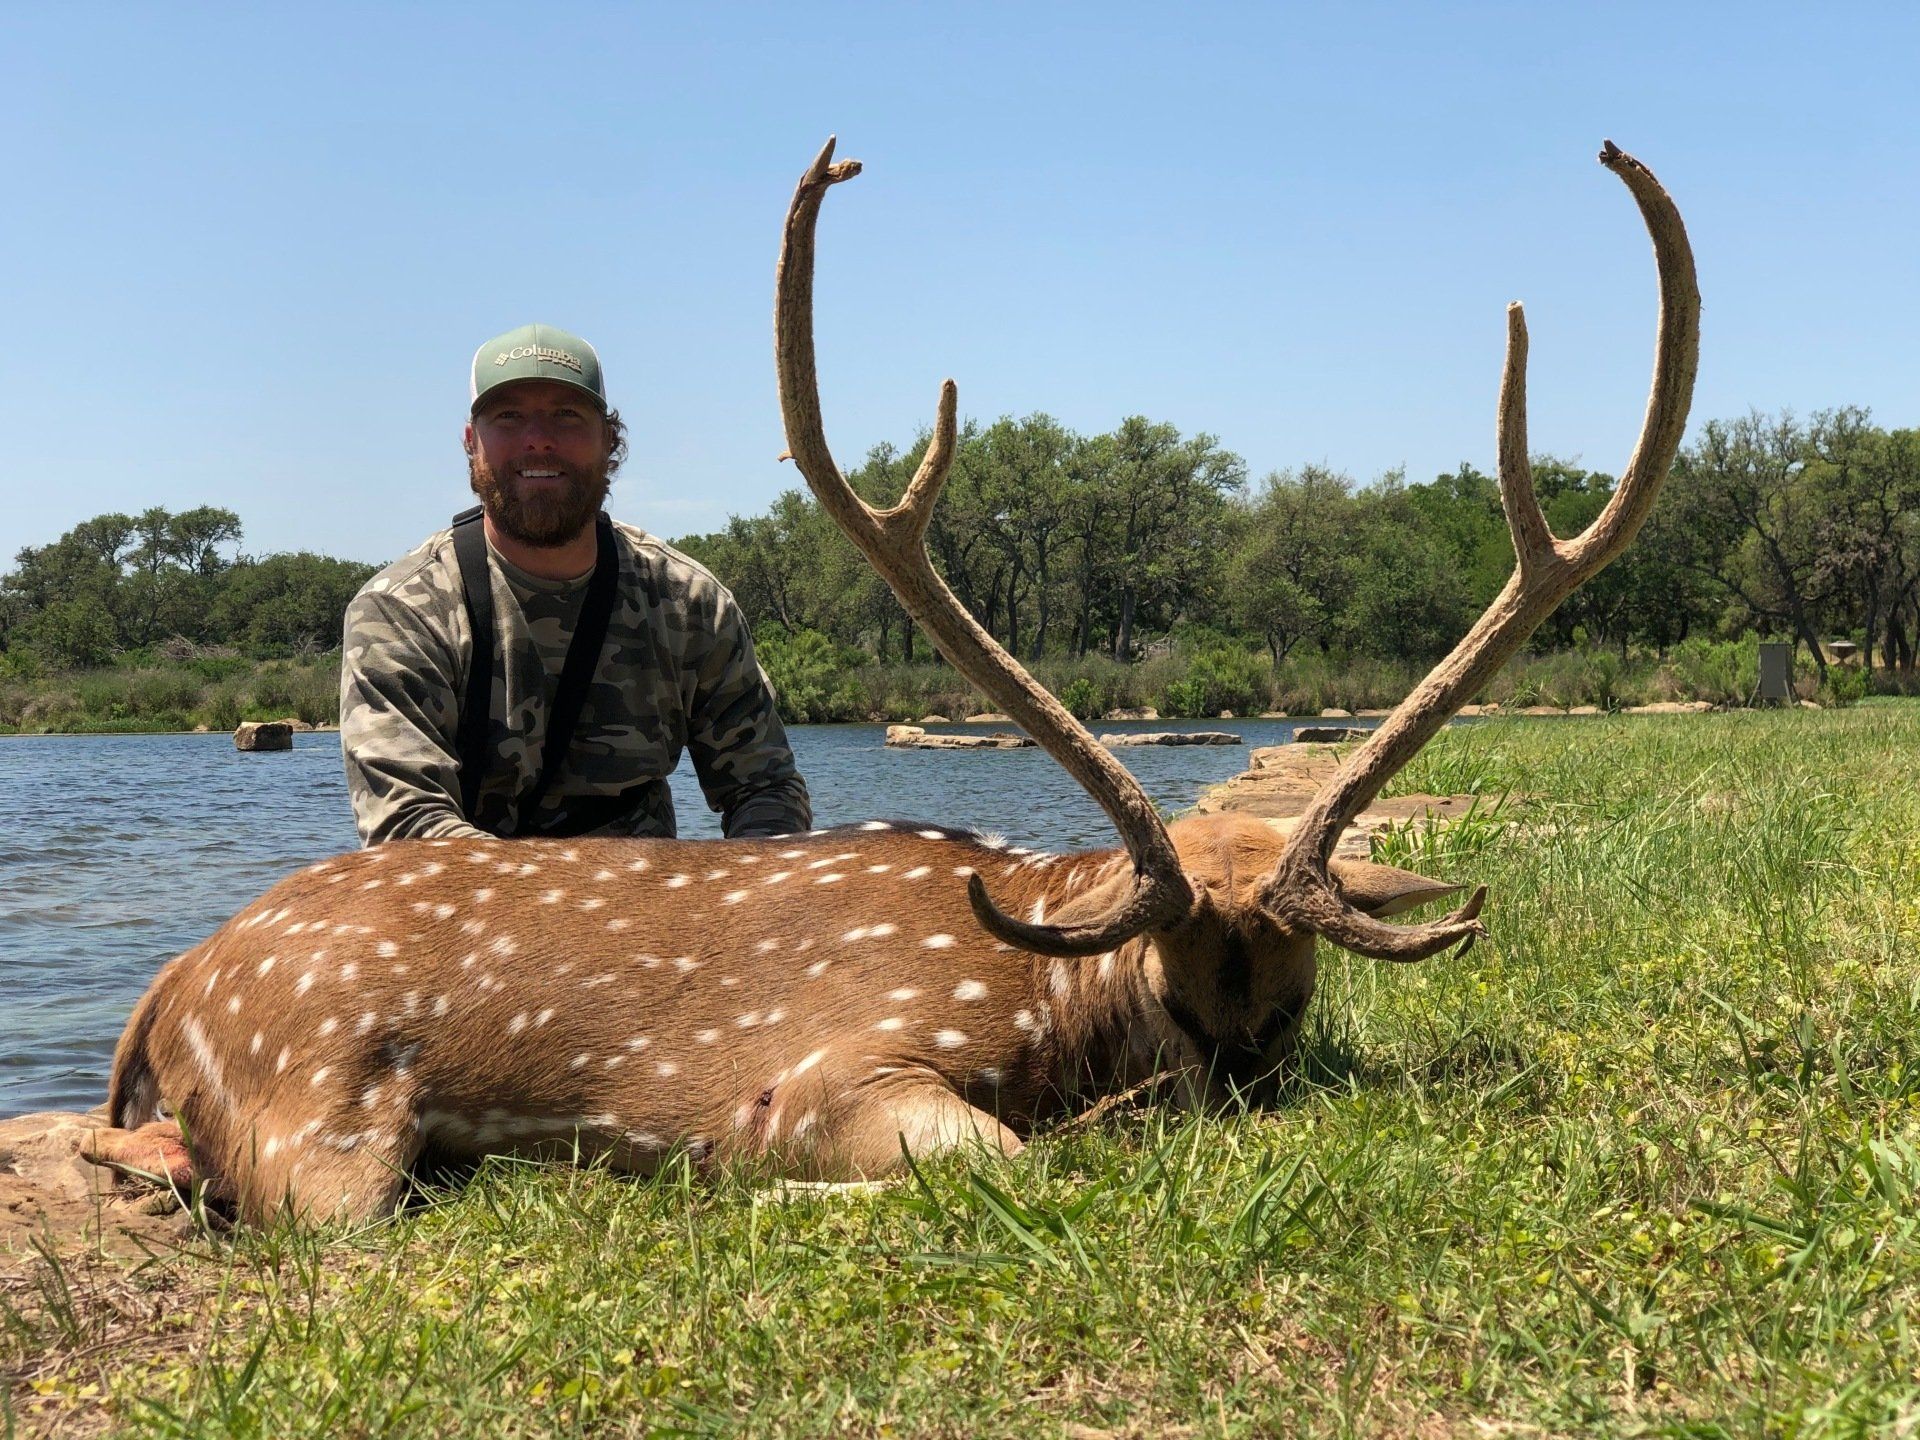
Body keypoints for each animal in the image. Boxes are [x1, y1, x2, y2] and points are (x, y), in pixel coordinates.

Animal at [83, 137, 1698, 1224]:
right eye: (1175, 1008)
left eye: (1294, 1016)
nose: (1233, 1105)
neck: (1051, 998)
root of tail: (171, 984)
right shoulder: (832, 1069)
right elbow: (1001, 1166)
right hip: (323, 1097)